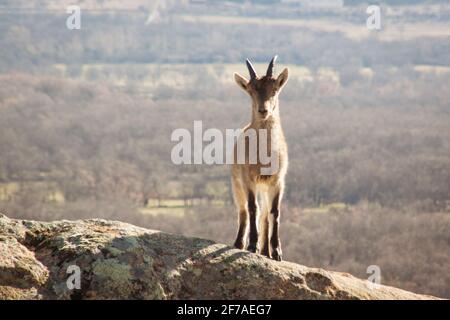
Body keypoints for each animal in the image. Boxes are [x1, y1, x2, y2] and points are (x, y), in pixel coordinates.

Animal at [232, 56, 288, 262]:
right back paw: (240, 243)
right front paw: (252, 245)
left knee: (264, 214)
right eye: (251, 90)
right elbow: (252, 207)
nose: (263, 111)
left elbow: (274, 212)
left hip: (265, 187)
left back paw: (266, 251)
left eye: (275, 89)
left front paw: (277, 252)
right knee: (243, 211)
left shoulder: (278, 181)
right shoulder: (248, 179)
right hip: (236, 183)